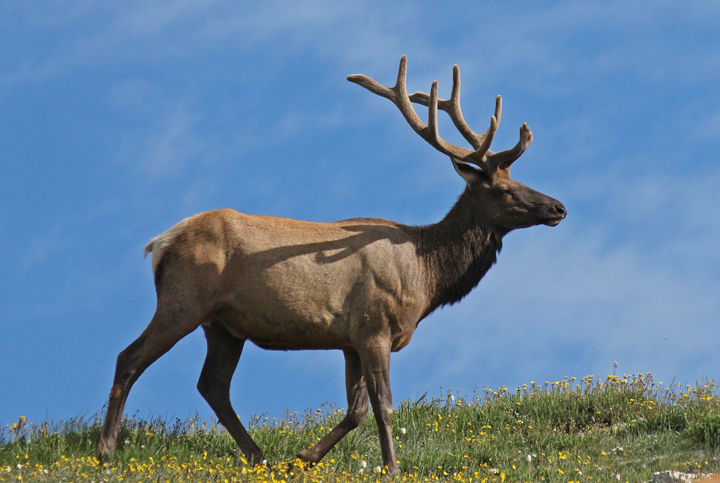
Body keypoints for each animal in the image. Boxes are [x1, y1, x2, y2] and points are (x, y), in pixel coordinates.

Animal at [96, 56, 566, 474]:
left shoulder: (349, 338)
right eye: (504, 190)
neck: (425, 275)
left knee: (212, 385)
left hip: (224, 324)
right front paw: (392, 468)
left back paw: (260, 457)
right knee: (129, 358)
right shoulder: (373, 325)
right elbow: (383, 406)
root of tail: (160, 243)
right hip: (183, 300)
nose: (558, 207)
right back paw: (106, 450)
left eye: (519, 181)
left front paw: (303, 458)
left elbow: (355, 410)